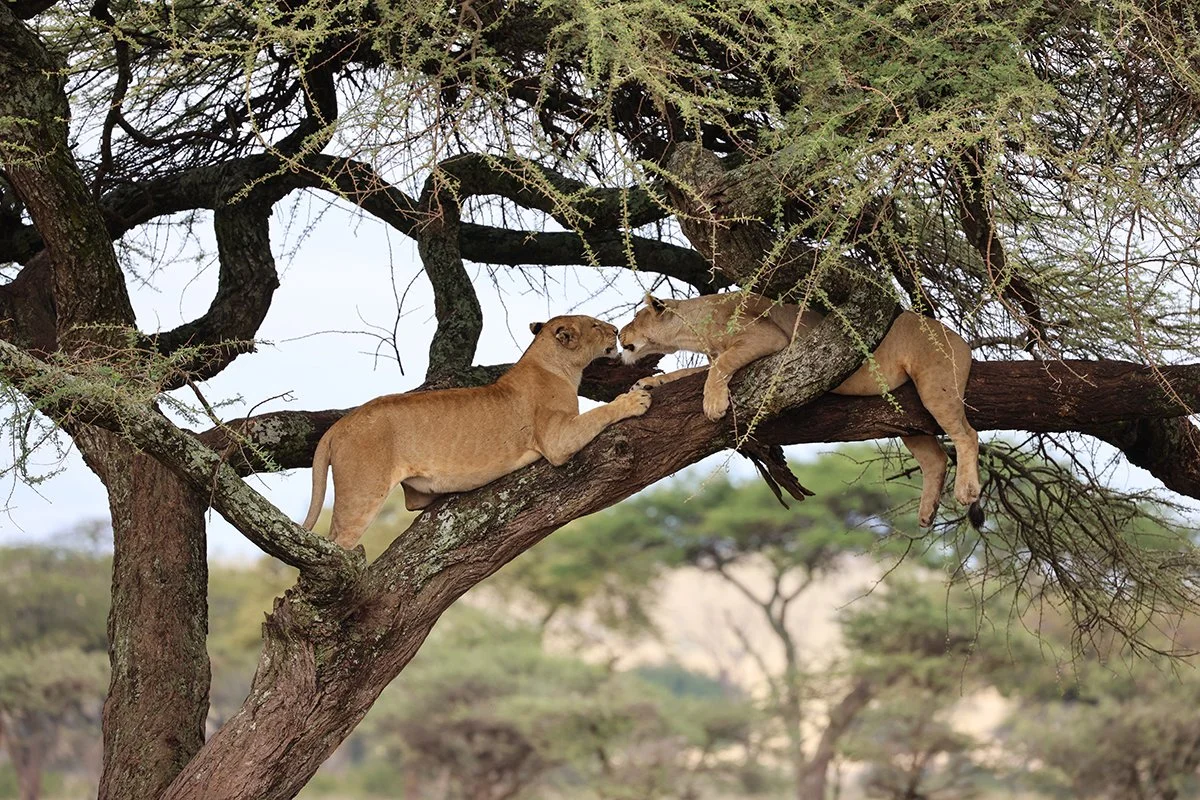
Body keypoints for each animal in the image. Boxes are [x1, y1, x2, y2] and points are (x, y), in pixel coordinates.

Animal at [301, 315, 652, 548]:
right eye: (594, 325)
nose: (616, 330)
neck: (556, 366)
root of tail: (339, 424)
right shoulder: (556, 440)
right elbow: (598, 414)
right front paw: (634, 400)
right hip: (362, 493)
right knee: (336, 542)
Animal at [618, 292, 981, 528]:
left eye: (635, 318)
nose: (620, 333)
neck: (697, 328)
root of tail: (961, 339)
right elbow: (688, 373)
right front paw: (647, 384)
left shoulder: (765, 338)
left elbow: (718, 367)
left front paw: (713, 405)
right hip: (906, 418)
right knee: (935, 459)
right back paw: (927, 512)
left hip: (935, 385)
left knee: (967, 435)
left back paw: (966, 491)